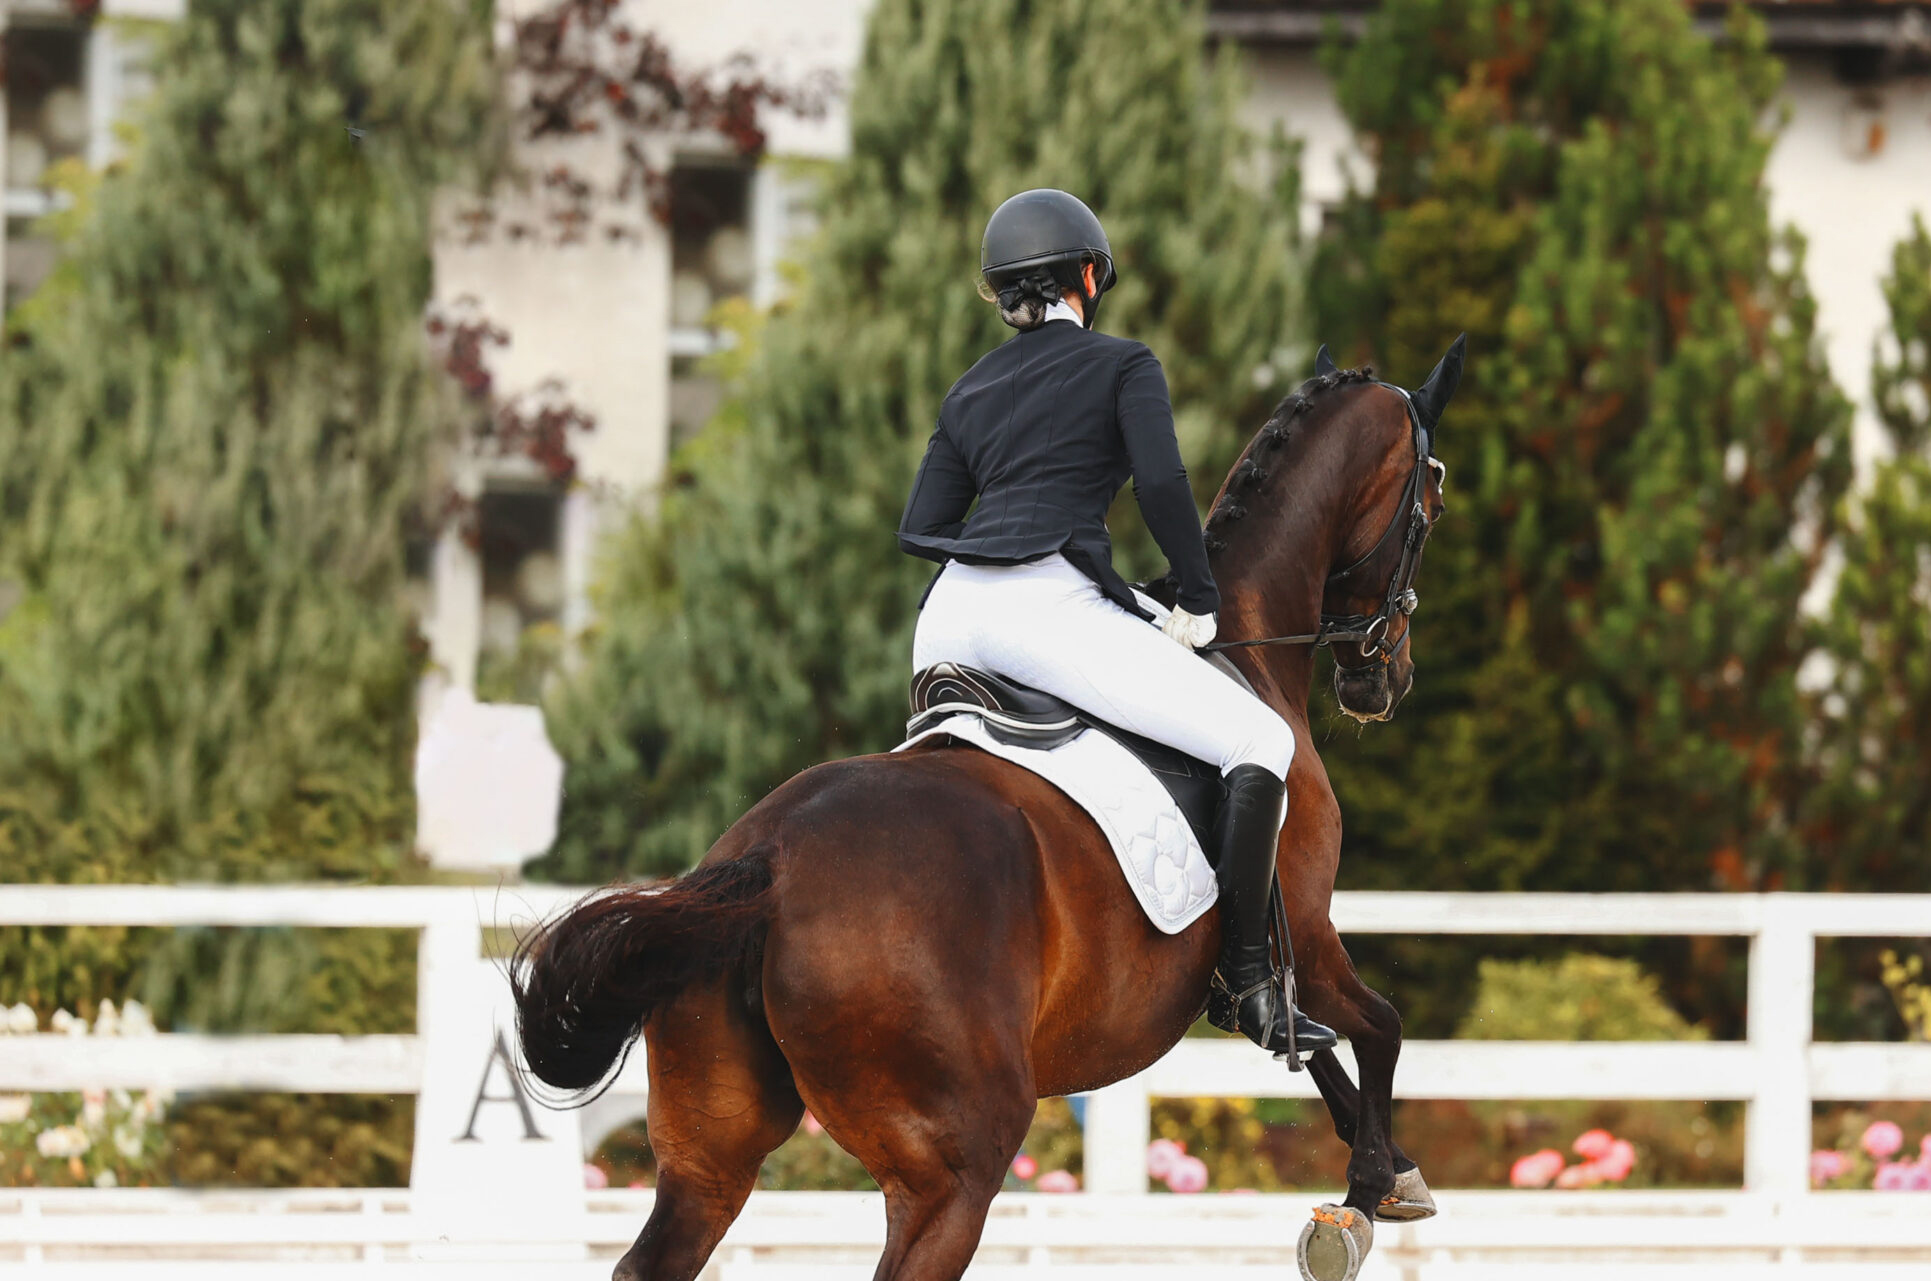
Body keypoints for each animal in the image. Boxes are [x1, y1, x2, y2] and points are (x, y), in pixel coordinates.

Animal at [512, 338, 1464, 1281]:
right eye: (1433, 496)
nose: (1384, 679)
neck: (1249, 648)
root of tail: (766, 864)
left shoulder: (1274, 951)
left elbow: (1323, 1047)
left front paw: (1383, 1173)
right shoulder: (1303, 926)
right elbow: (1375, 1026)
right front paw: (1368, 1195)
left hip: (709, 1156)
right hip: (954, 1168)